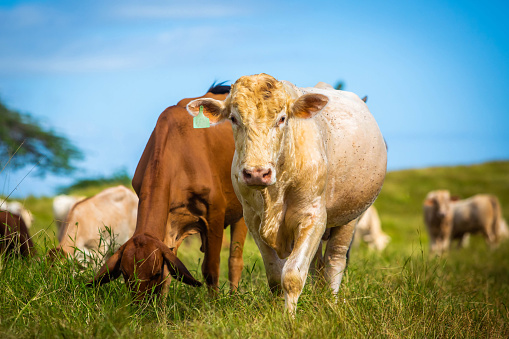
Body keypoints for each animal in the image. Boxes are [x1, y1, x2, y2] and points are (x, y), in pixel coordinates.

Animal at [89, 84, 248, 300]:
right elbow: (169, 273)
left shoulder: (215, 213)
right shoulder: (167, 225)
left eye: (153, 273)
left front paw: (214, 304)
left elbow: (211, 270)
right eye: (126, 275)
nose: (141, 305)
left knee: (235, 260)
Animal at [187, 73, 384, 314]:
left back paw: (330, 301)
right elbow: (274, 276)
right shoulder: (253, 220)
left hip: (349, 218)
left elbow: (292, 276)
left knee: (334, 261)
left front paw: (289, 317)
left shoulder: (313, 217)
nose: (256, 173)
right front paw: (274, 313)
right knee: (318, 264)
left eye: (282, 118)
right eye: (233, 118)